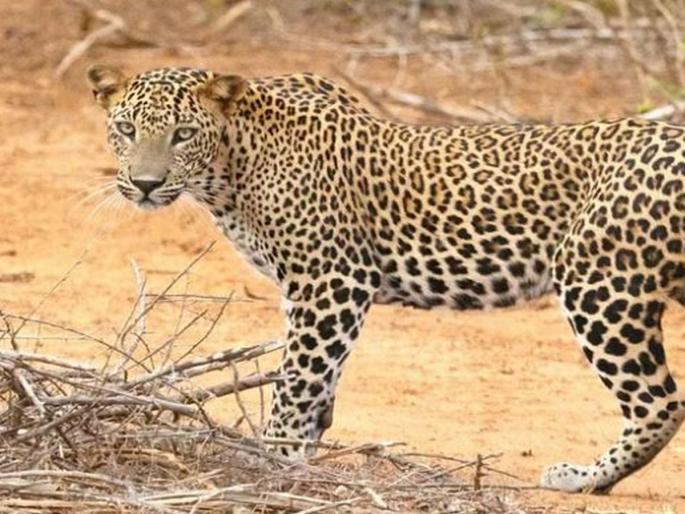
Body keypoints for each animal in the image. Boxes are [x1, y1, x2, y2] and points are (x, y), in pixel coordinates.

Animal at [87, 64, 685, 494]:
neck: (232, 167)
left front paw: (273, 458)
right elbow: (317, 383)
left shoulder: (331, 279)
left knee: (659, 404)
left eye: (183, 134)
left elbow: (297, 380)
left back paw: (584, 479)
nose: (145, 183)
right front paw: (302, 456)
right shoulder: (310, 292)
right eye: (126, 129)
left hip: (598, 283)